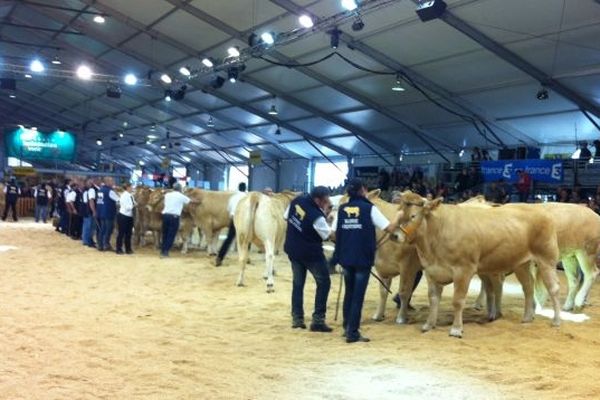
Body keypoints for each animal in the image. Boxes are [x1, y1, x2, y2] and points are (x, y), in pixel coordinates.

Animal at [394, 191, 564, 338]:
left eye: (413, 215)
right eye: (398, 212)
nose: (394, 235)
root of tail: (539, 210)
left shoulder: (463, 270)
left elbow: (458, 301)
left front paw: (456, 329)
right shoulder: (431, 271)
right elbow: (433, 299)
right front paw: (429, 325)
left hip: (546, 259)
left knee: (553, 288)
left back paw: (556, 320)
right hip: (521, 264)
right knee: (528, 287)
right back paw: (527, 318)